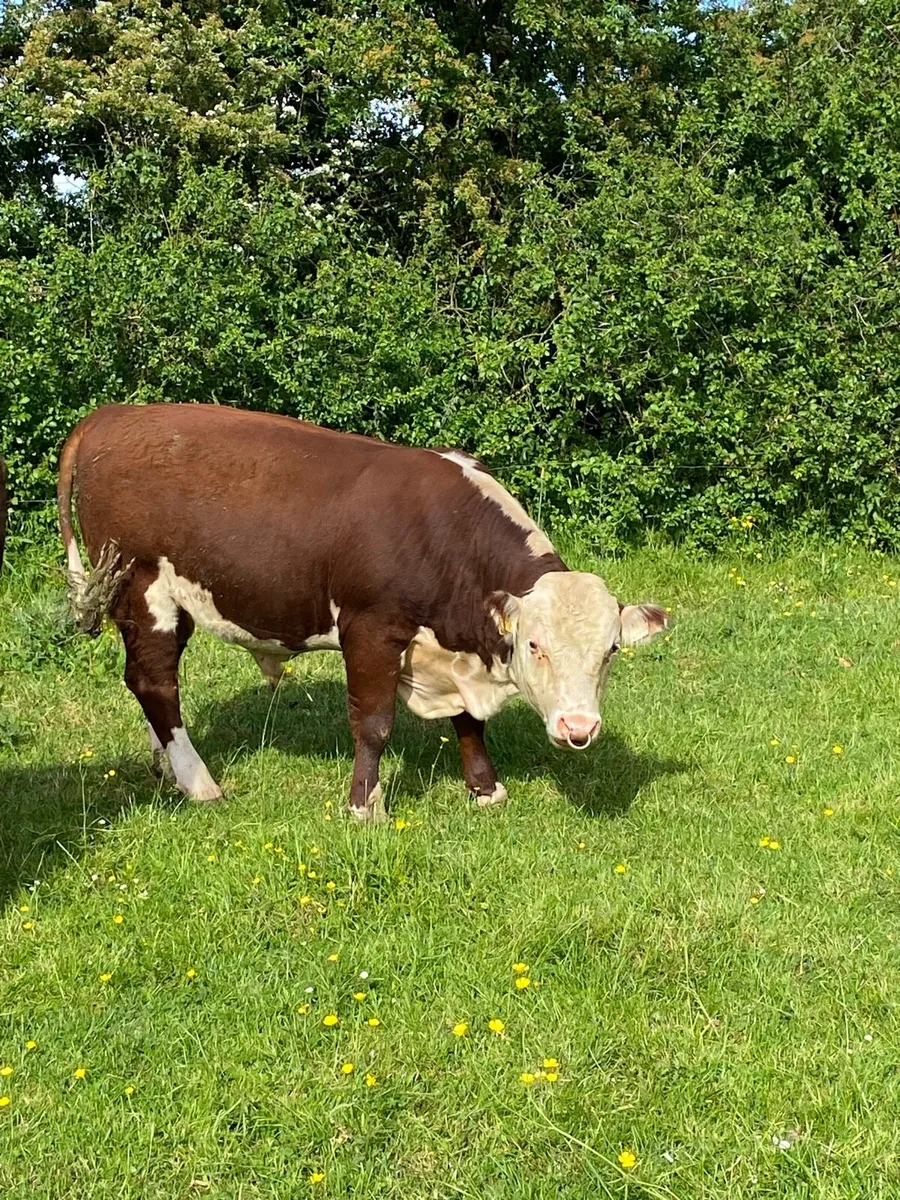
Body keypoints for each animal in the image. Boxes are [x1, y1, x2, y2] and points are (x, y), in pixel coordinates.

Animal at [58, 404, 668, 820]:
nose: (578, 728)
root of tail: (117, 413)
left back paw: (165, 764)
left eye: (610, 650)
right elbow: (373, 725)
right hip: (144, 590)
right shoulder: (371, 630)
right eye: (536, 645)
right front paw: (364, 805)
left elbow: (469, 723)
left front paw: (485, 789)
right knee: (156, 683)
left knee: (146, 683)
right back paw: (198, 781)